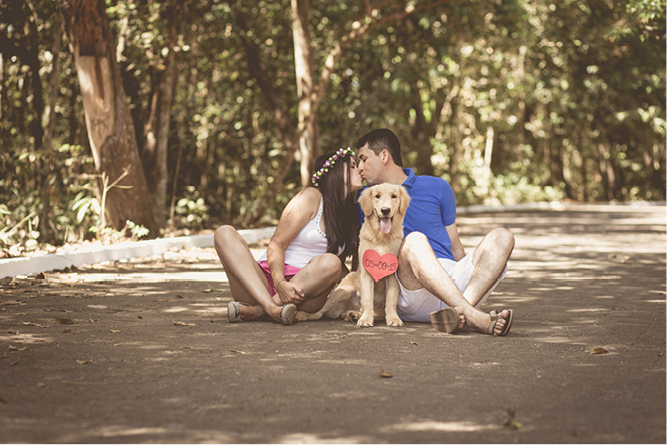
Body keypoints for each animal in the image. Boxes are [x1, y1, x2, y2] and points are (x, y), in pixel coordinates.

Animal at [294, 183, 410, 326]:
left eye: (394, 196)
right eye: (377, 196)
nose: (385, 210)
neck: (381, 238)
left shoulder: (392, 275)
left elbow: (391, 299)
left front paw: (393, 318)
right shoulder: (366, 273)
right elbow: (367, 299)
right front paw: (365, 319)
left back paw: (353, 314)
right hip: (343, 291)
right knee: (320, 312)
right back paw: (304, 314)